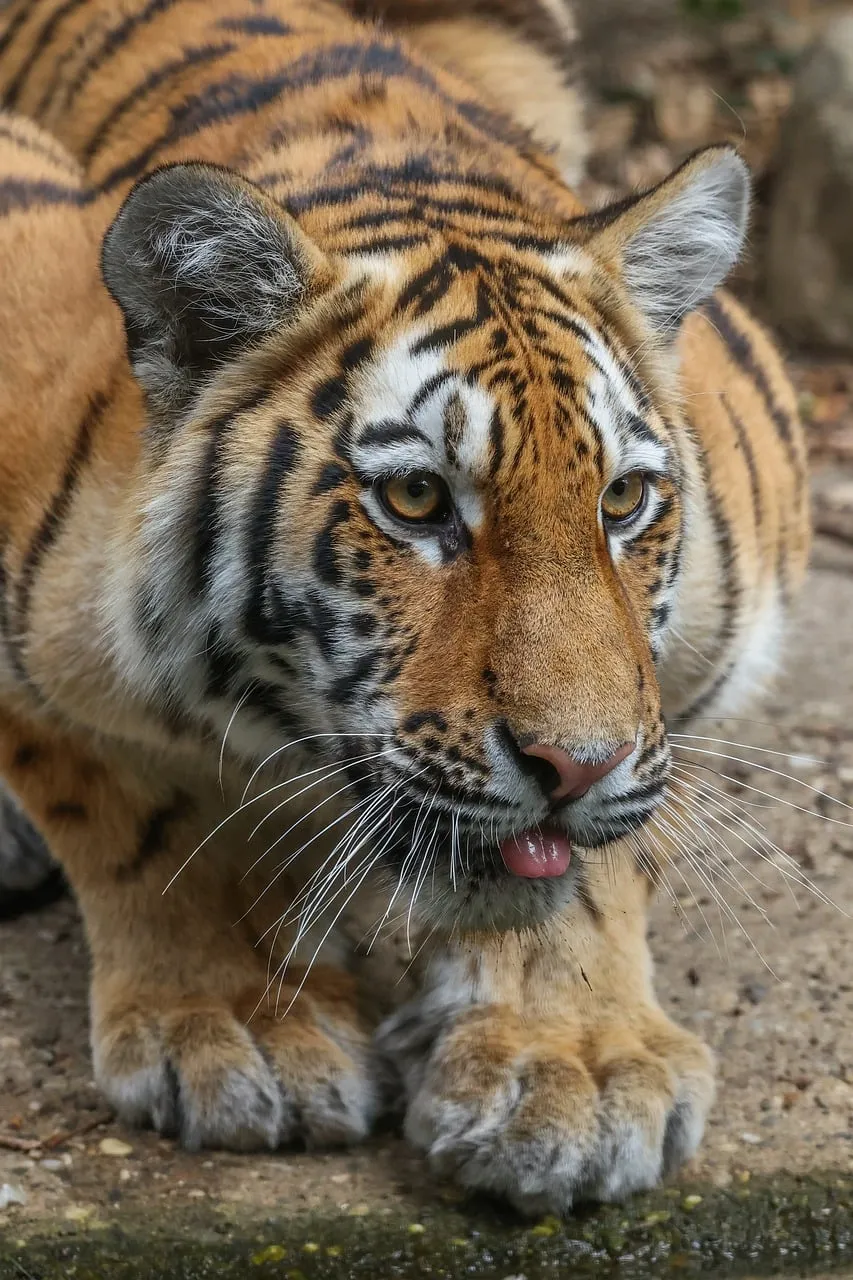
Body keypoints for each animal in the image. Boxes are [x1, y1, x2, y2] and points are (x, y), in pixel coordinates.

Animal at [0, 0, 808, 1214]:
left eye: (621, 500)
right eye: (417, 499)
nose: (573, 766)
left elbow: (606, 847)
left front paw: (569, 1065)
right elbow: (140, 811)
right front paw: (237, 1026)